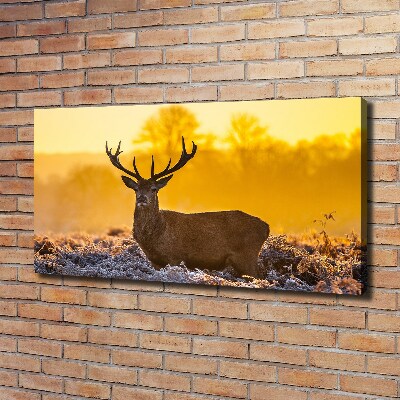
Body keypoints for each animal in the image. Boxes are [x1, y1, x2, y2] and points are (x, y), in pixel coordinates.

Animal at [105, 137, 268, 278]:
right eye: (136, 189)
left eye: (154, 189)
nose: (142, 199)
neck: (156, 235)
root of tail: (266, 227)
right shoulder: (154, 261)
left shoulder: (175, 257)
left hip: (246, 256)